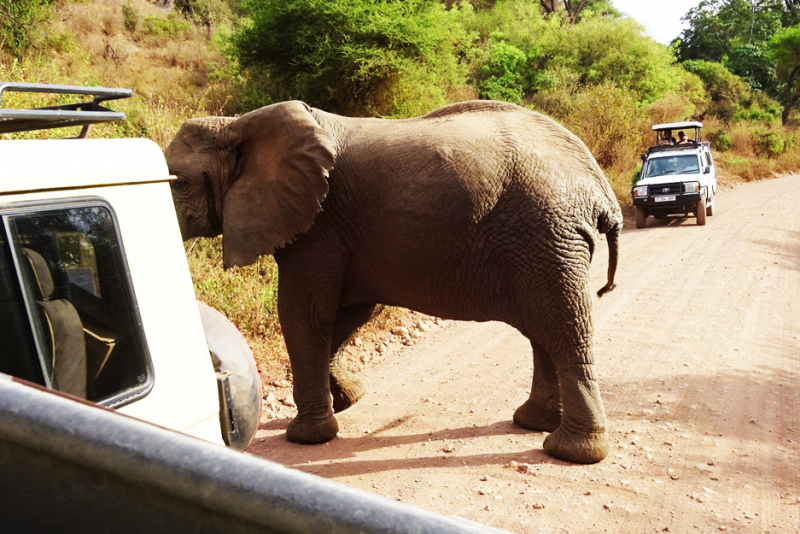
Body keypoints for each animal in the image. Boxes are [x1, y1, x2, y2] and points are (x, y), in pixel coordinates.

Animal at [166, 99, 620, 464]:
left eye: (179, 183)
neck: (237, 124)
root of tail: (600, 187)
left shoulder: (318, 225)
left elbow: (304, 314)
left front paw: (308, 436)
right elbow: (346, 314)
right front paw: (349, 400)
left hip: (545, 235)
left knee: (562, 328)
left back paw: (570, 452)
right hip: (544, 244)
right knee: (543, 331)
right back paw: (532, 423)